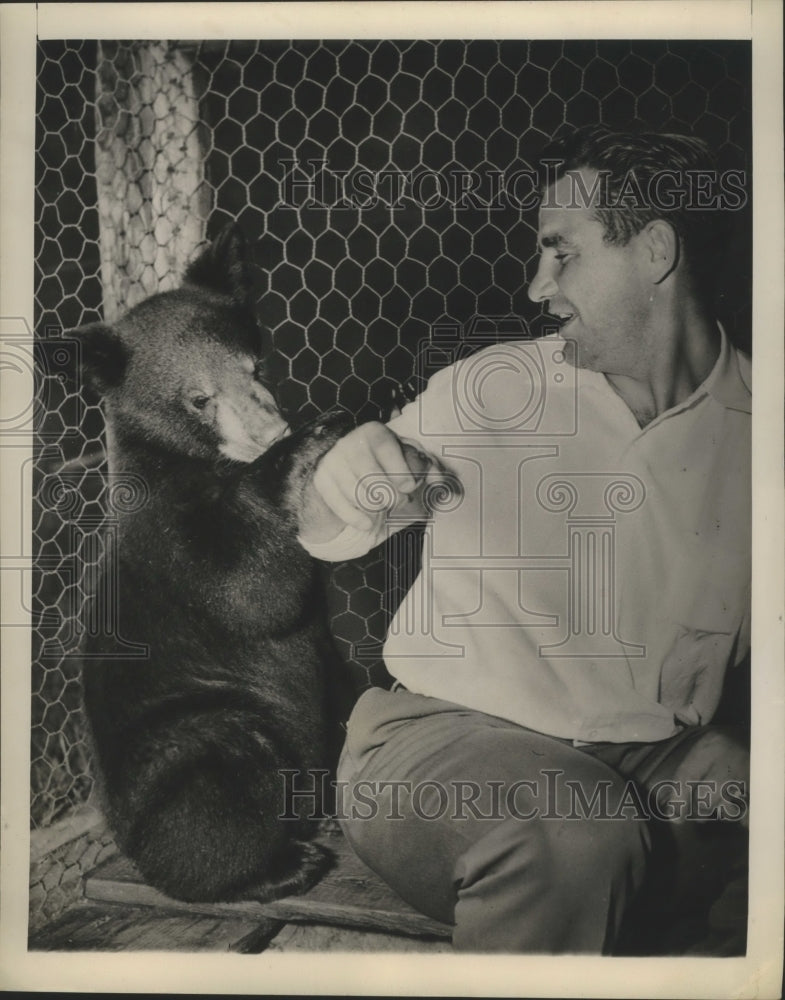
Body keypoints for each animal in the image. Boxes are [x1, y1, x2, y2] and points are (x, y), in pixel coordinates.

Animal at [72, 225, 352, 900]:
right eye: (200, 397)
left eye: (256, 366)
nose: (268, 429)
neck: (199, 462)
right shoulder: (165, 529)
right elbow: (247, 588)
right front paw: (309, 439)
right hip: (194, 742)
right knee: (223, 783)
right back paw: (281, 864)